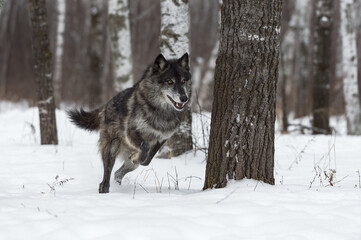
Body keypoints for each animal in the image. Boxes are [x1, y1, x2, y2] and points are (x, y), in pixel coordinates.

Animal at [67, 53, 191, 193]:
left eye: (183, 81)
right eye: (170, 82)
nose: (184, 98)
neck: (161, 112)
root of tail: (106, 105)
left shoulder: (162, 139)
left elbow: (147, 160)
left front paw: (136, 157)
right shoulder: (131, 131)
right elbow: (144, 146)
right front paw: (137, 156)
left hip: (129, 163)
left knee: (118, 172)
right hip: (112, 147)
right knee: (106, 177)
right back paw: (104, 190)